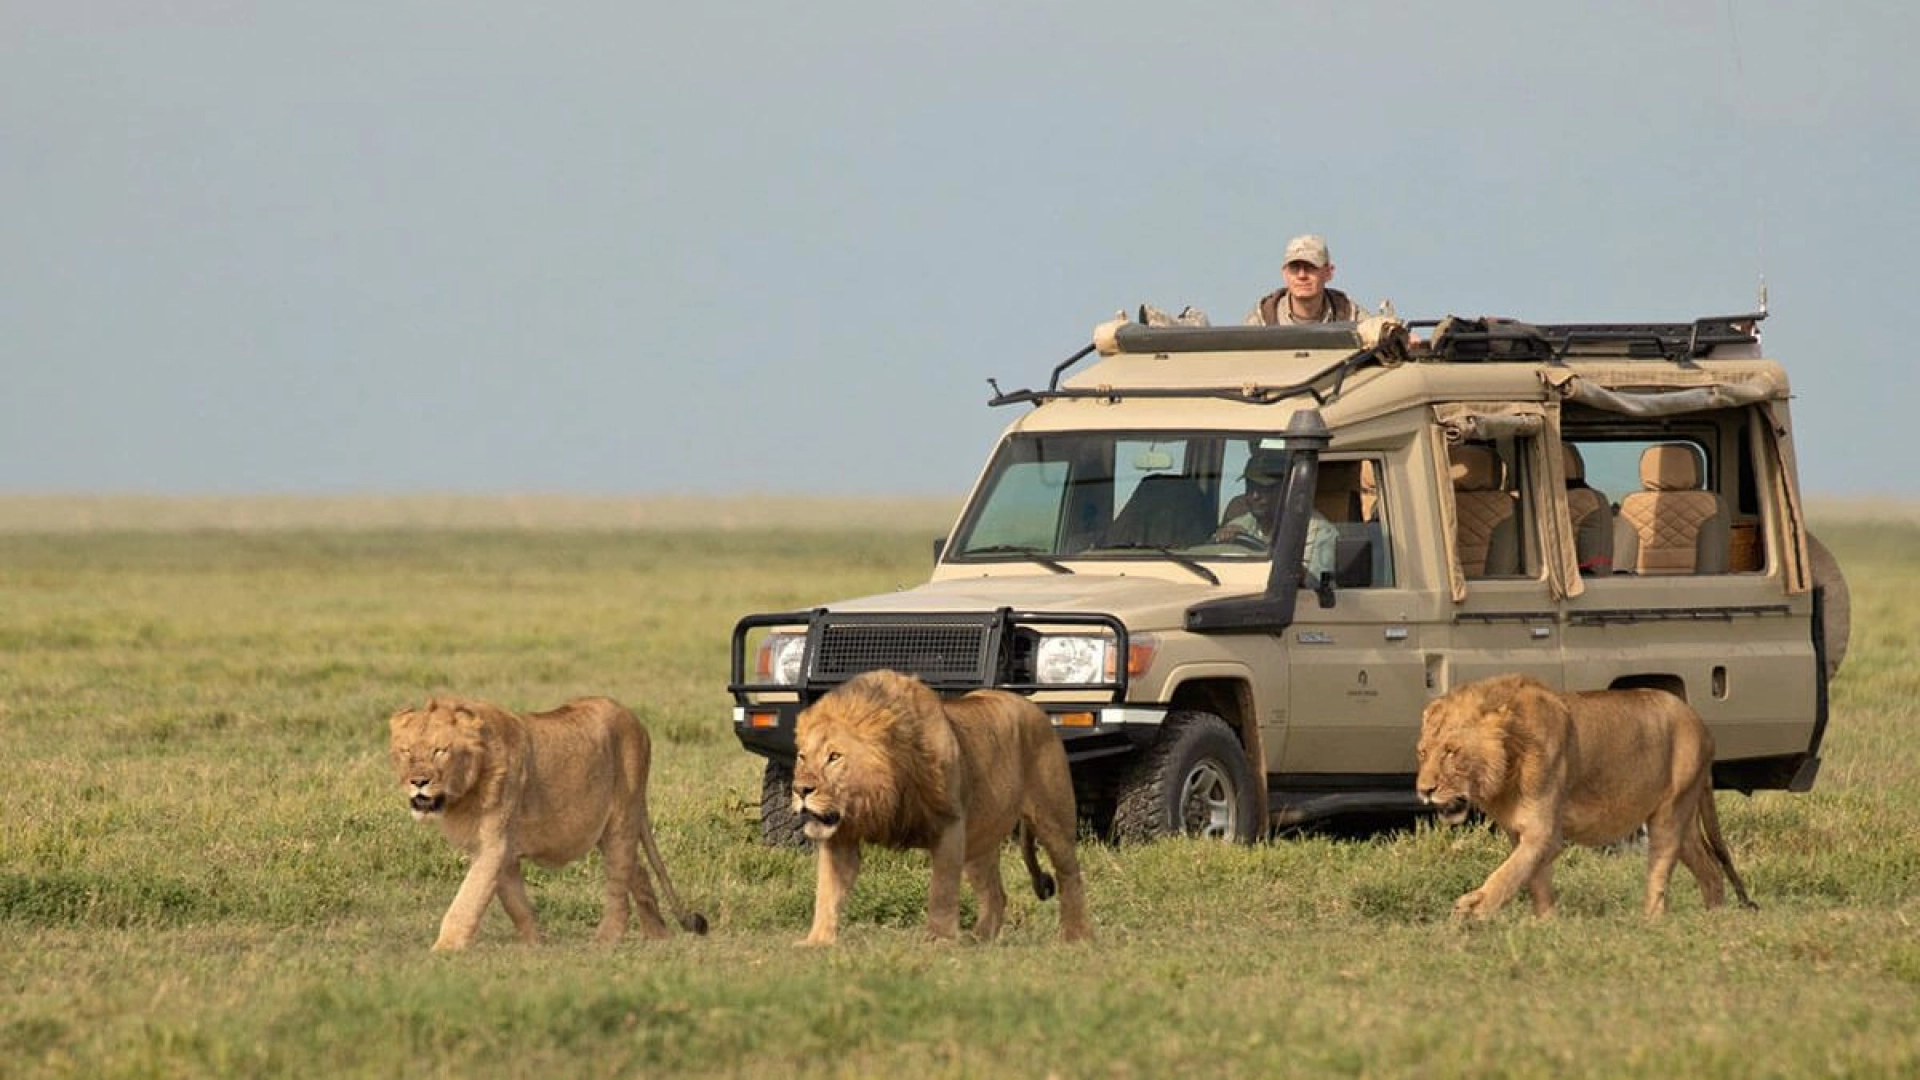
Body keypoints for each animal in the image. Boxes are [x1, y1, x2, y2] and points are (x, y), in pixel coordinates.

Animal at [388, 695, 708, 950]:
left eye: (439, 750)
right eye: (406, 751)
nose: (418, 782)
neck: (463, 793)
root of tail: (634, 719)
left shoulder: (494, 845)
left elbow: (468, 899)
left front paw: (444, 949)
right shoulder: (502, 853)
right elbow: (517, 905)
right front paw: (535, 945)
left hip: (622, 816)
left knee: (619, 882)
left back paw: (605, 940)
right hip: (606, 830)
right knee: (637, 869)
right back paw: (658, 935)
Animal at [789, 669, 1091, 945]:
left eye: (834, 756)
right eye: (802, 757)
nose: (800, 790)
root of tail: (1035, 708)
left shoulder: (949, 824)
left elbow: (942, 890)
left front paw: (938, 940)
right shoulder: (841, 837)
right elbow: (827, 891)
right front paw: (817, 941)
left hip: (1053, 819)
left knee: (1070, 876)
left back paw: (1074, 937)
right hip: (979, 840)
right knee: (995, 894)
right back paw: (979, 940)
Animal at [1415, 673, 1757, 920]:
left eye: (1451, 752)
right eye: (1423, 753)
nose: (1424, 790)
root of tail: (1702, 724)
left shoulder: (1544, 832)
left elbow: (1509, 873)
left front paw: (1473, 909)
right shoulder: (1518, 832)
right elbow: (1534, 878)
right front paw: (1546, 924)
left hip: (1670, 813)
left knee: (1661, 868)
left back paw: (1651, 922)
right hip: (1684, 822)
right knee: (1711, 870)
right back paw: (1713, 920)